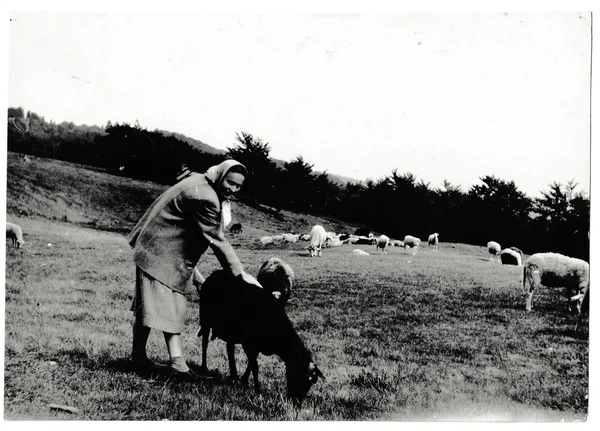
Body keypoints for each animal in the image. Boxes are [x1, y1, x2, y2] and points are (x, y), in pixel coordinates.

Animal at [199, 272, 324, 406]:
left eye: (311, 382)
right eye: (300, 377)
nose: (296, 403)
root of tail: (214, 274)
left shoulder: (256, 346)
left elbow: (251, 363)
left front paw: (244, 381)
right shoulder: (249, 343)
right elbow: (255, 365)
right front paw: (257, 389)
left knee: (230, 349)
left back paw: (234, 376)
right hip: (205, 320)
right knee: (205, 344)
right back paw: (204, 367)